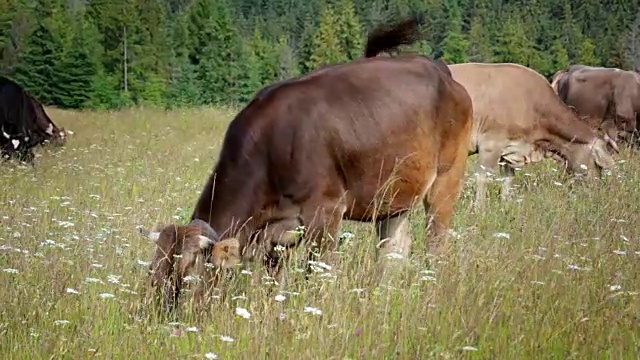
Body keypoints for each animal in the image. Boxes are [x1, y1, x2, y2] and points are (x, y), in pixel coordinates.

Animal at [142, 15, 478, 310]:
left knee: (435, 244)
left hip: (447, 179)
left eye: (188, 273)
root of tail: (437, 67)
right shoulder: (275, 235)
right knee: (393, 250)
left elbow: (317, 273)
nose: (166, 314)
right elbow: (274, 280)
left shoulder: (325, 213)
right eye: (154, 271)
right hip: (395, 194)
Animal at [448, 62, 616, 208]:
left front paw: (506, 205)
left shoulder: (510, 149)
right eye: (597, 164)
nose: (597, 189)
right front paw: (479, 208)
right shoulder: (491, 144)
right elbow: (484, 177)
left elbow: (508, 178)